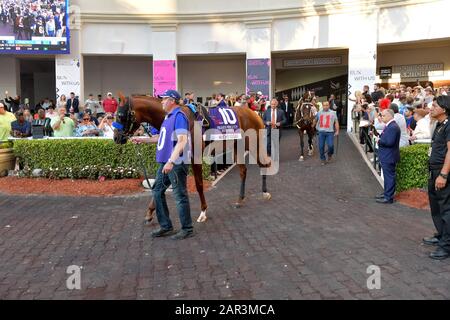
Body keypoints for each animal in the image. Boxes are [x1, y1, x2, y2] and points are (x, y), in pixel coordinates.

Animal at [114, 95, 272, 224]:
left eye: (120, 115)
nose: (116, 137)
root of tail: (253, 113)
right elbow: (161, 184)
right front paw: (150, 212)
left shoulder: (195, 157)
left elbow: (199, 184)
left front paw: (203, 212)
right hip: (236, 147)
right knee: (243, 171)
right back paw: (240, 199)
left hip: (254, 145)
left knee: (263, 164)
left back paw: (265, 192)